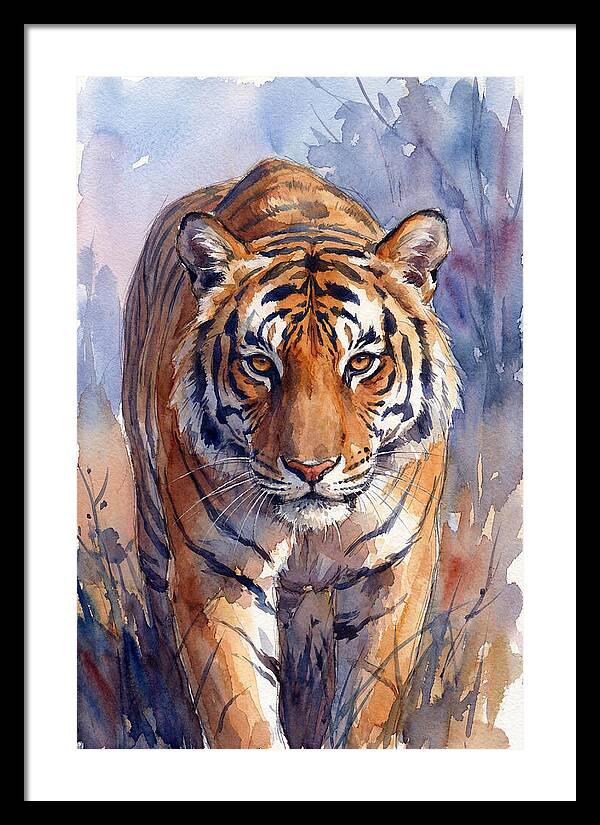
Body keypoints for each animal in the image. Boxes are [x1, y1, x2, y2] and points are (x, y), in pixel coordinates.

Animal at [122, 158, 460, 749]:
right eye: (261, 364)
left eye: (361, 363)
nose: (311, 468)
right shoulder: (217, 571)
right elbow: (240, 717)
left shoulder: (395, 569)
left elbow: (369, 704)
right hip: (153, 525)